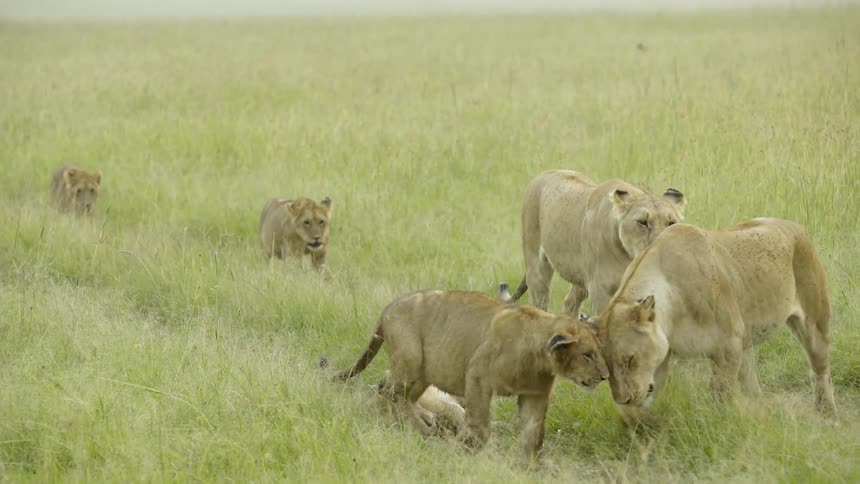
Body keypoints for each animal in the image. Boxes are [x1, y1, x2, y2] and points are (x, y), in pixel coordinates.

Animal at [332, 289, 609, 462]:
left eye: (598, 351)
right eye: (587, 355)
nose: (606, 376)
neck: (538, 356)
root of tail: (388, 307)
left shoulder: (535, 395)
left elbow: (534, 435)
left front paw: (534, 467)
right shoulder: (477, 377)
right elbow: (479, 424)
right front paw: (477, 450)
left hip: (422, 374)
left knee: (396, 395)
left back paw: (419, 428)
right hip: (410, 360)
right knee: (391, 394)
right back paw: (421, 430)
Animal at [502, 170, 685, 316]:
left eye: (671, 223)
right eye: (642, 222)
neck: (628, 258)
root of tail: (544, 173)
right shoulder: (600, 290)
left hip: (581, 278)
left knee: (570, 303)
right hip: (537, 269)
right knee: (540, 302)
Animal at [592, 218, 836, 427]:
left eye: (630, 360)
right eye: (607, 366)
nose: (624, 399)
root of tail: (793, 225)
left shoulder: (728, 346)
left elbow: (722, 395)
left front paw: (723, 426)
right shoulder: (659, 359)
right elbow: (640, 405)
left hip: (813, 324)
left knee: (820, 371)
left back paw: (827, 414)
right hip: (746, 339)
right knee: (753, 384)